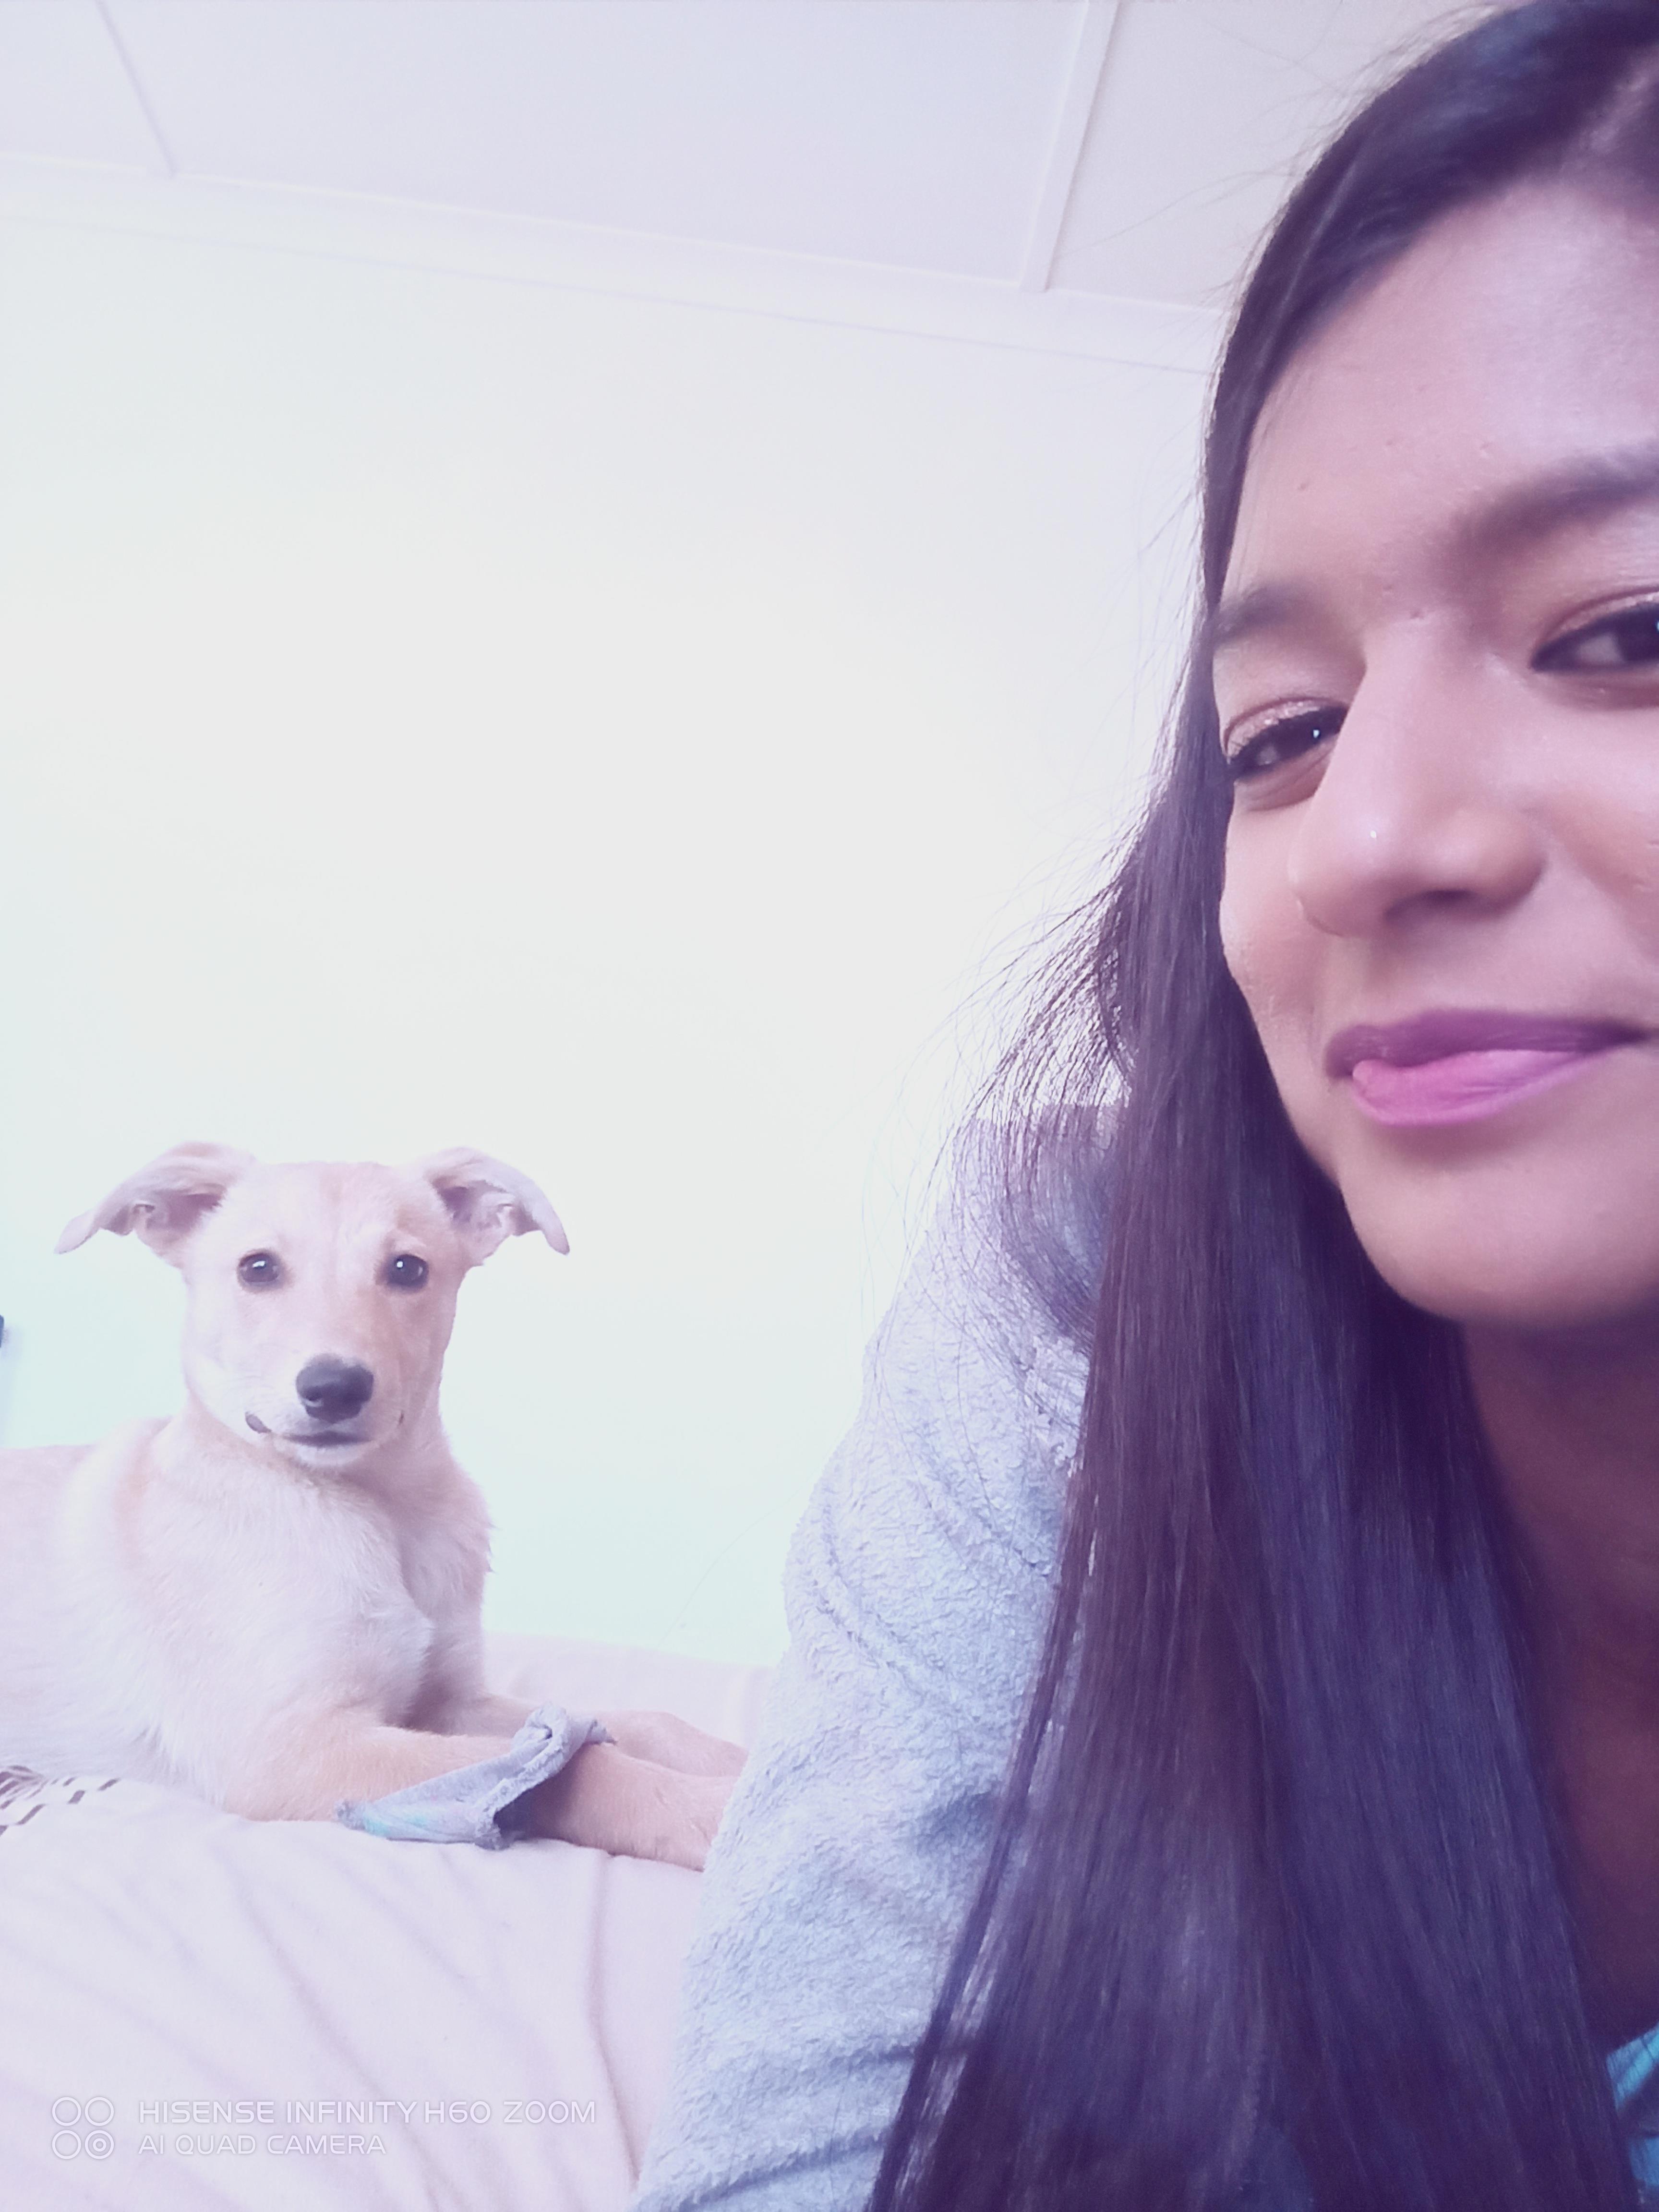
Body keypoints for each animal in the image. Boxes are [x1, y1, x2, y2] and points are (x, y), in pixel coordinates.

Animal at [0, 1143, 740, 1868]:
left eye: (407, 1269)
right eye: (258, 1269)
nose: (335, 1388)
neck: (382, 1510)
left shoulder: (448, 1702)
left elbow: (630, 1722)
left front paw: (734, 1757)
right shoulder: (291, 1751)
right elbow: (572, 1767)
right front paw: (714, 1812)